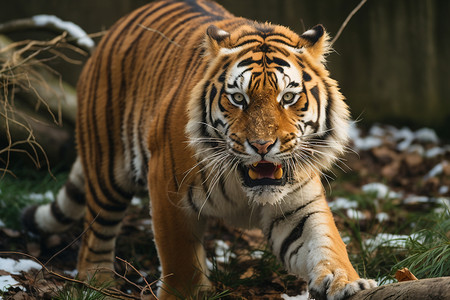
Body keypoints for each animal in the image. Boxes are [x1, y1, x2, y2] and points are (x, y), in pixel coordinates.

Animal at [22, 0, 378, 298]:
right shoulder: (168, 193)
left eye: (288, 97)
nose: (262, 145)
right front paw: (188, 294)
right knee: (95, 234)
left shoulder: (298, 206)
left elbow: (327, 243)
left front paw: (345, 281)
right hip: (106, 167)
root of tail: (115, 28)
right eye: (238, 98)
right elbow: (181, 260)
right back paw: (99, 283)